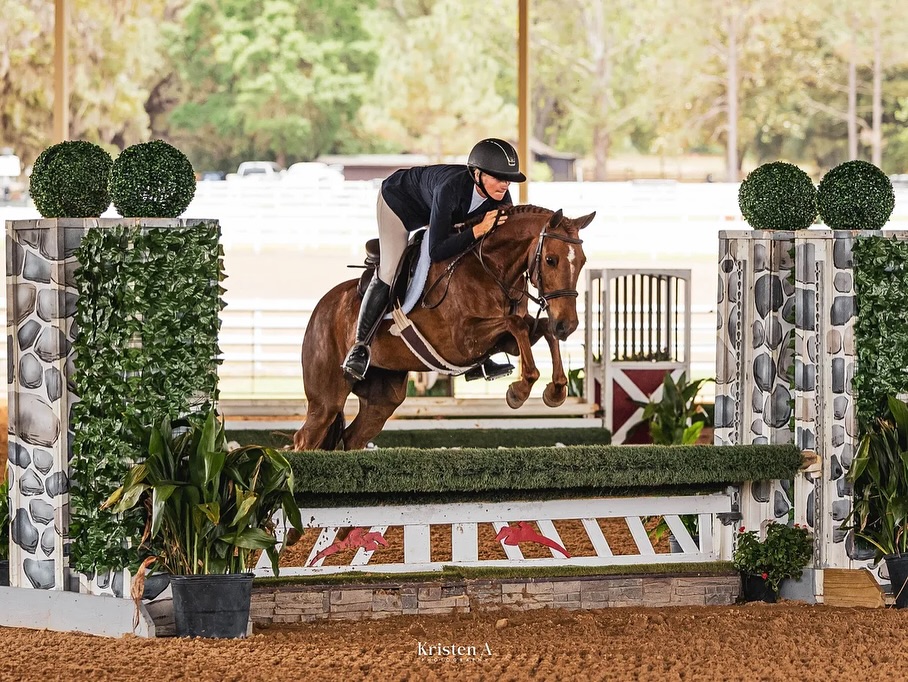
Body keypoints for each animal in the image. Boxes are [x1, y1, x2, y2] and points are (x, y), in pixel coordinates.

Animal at [292, 204, 595, 450]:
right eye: (551, 260)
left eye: (582, 262)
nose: (568, 325)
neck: (490, 268)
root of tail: (320, 309)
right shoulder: (461, 342)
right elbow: (517, 324)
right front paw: (520, 390)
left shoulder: (503, 341)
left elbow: (540, 328)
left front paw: (555, 390)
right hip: (327, 397)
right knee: (306, 437)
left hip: (382, 398)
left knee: (354, 436)